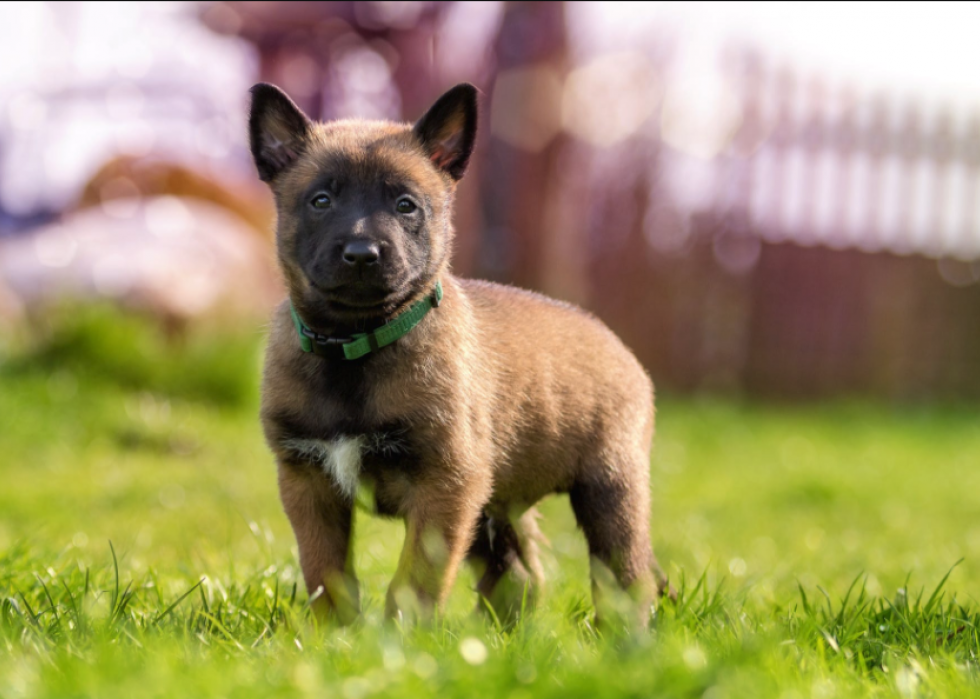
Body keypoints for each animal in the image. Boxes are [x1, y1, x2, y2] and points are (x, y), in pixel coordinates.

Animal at [249, 82, 668, 628]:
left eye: (406, 205)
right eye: (320, 200)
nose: (362, 254)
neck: (355, 349)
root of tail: (614, 342)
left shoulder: (445, 484)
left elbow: (414, 580)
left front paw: (397, 639)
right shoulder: (309, 481)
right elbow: (327, 574)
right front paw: (334, 636)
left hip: (610, 490)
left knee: (625, 577)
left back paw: (623, 637)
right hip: (494, 507)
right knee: (518, 577)